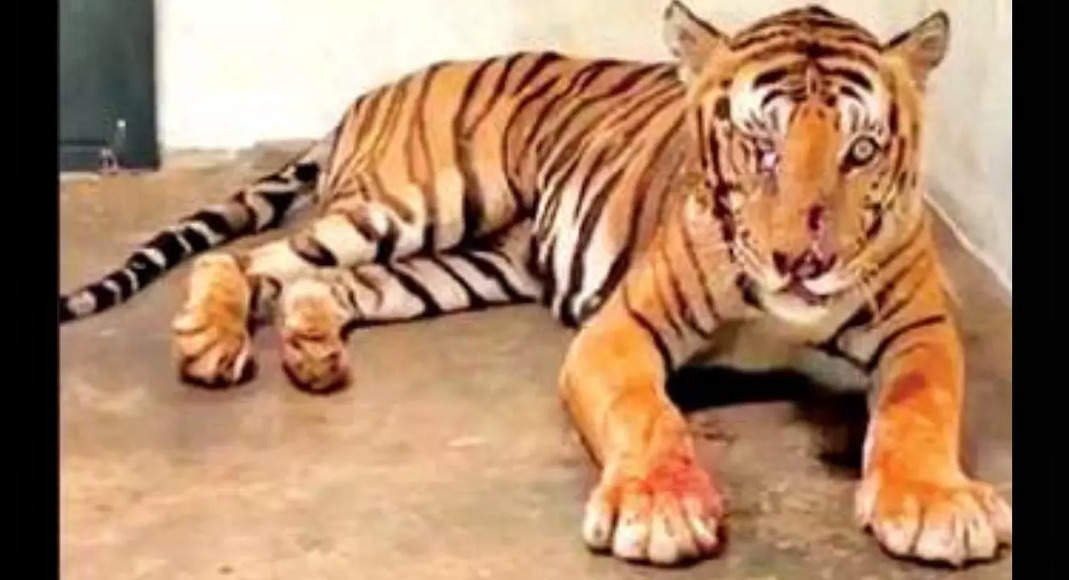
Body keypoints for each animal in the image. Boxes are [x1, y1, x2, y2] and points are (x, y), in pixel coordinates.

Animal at [59, 2, 1012, 567]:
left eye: (861, 150)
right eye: (760, 146)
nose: (799, 264)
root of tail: (372, 91)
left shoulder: (920, 325)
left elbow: (920, 410)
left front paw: (937, 504)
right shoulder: (623, 327)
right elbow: (647, 413)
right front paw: (659, 510)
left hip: (471, 263)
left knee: (333, 284)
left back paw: (312, 348)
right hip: (419, 202)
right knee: (248, 259)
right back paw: (210, 344)